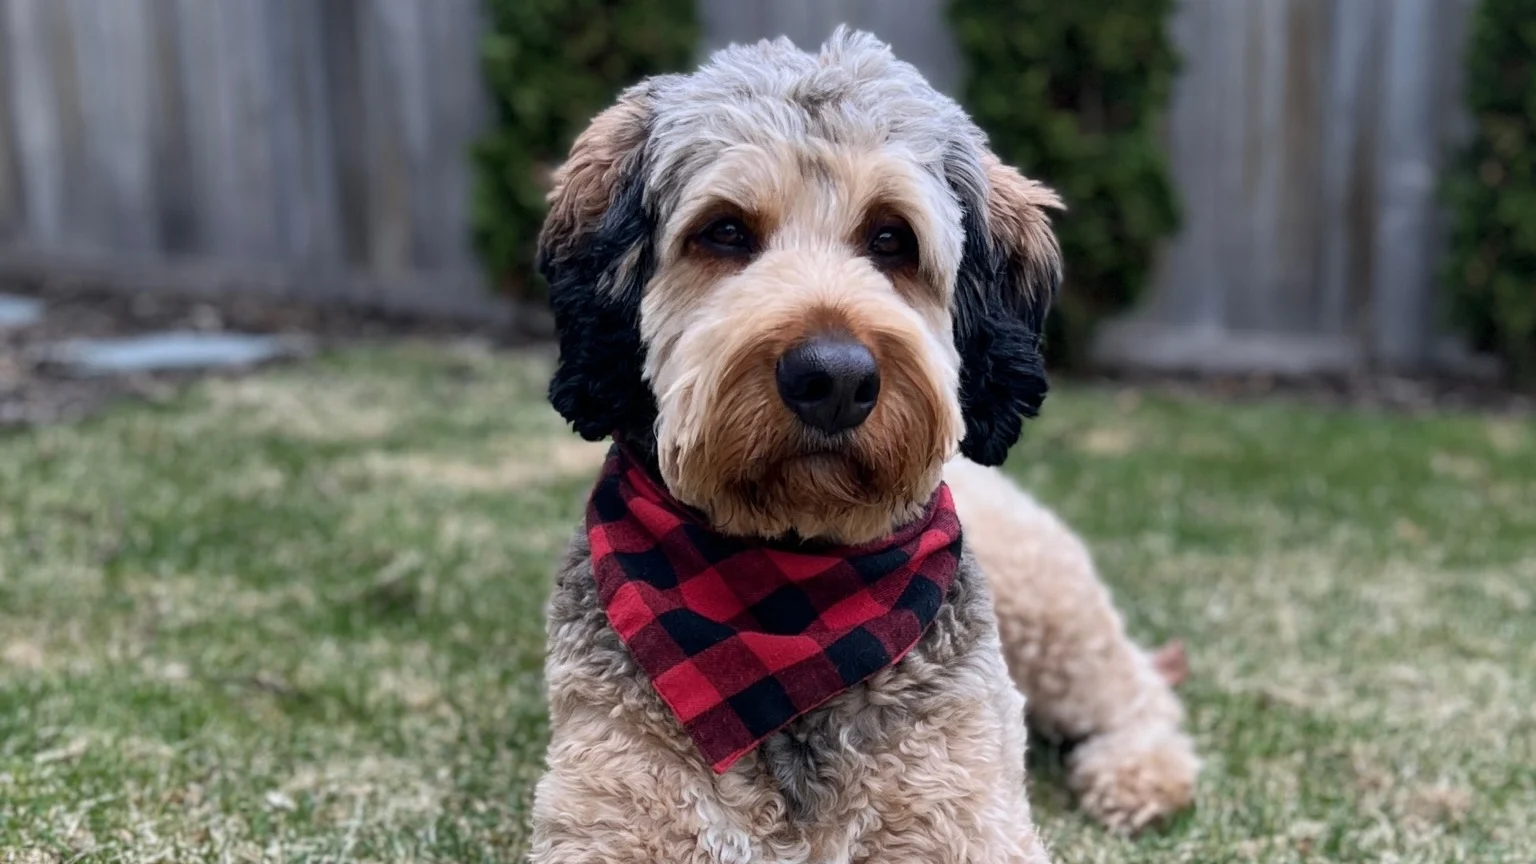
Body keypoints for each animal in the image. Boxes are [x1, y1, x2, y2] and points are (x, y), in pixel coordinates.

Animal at [528, 28, 1198, 860]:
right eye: (725, 231)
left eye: (891, 238)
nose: (834, 378)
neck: (792, 596)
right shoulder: (608, 815)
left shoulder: (966, 815)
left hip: (1056, 609)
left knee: (1138, 688)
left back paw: (1143, 772)